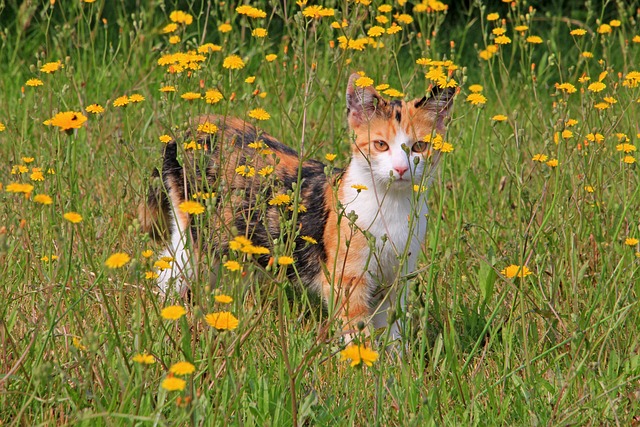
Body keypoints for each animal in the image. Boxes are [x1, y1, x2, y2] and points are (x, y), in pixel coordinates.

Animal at [139, 72, 456, 342]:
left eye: (419, 147)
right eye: (381, 145)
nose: (401, 169)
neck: (391, 208)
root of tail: (187, 128)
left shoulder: (397, 278)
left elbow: (392, 331)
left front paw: (394, 368)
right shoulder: (346, 279)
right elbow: (358, 332)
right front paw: (362, 369)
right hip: (195, 236)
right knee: (167, 271)